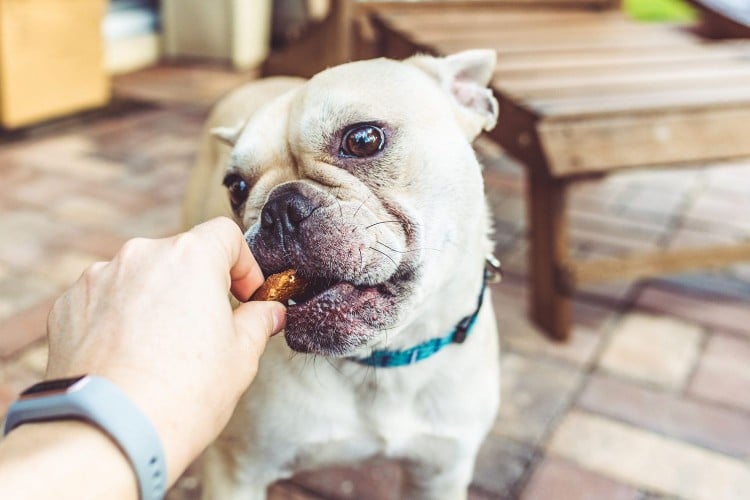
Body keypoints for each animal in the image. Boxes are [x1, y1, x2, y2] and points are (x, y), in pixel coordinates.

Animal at [183, 47, 502, 500]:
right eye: (236, 187)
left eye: (362, 140)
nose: (279, 207)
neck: (379, 361)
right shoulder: (235, 473)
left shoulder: (441, 472)